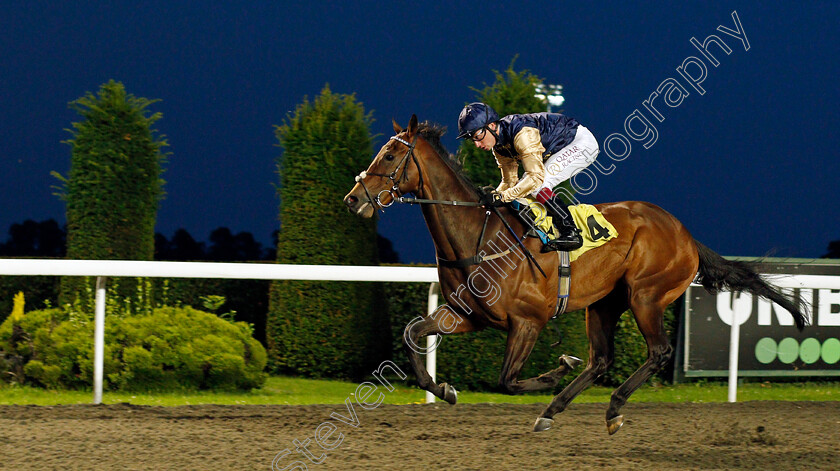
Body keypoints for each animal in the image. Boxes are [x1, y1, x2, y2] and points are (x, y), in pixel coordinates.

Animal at [342, 115, 808, 436]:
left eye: (390, 155)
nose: (353, 199)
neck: (478, 236)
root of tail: (686, 235)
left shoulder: (528, 321)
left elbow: (507, 379)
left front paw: (556, 369)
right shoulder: (466, 316)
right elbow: (412, 334)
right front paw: (444, 391)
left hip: (645, 296)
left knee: (657, 353)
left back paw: (613, 408)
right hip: (604, 303)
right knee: (602, 360)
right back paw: (553, 412)